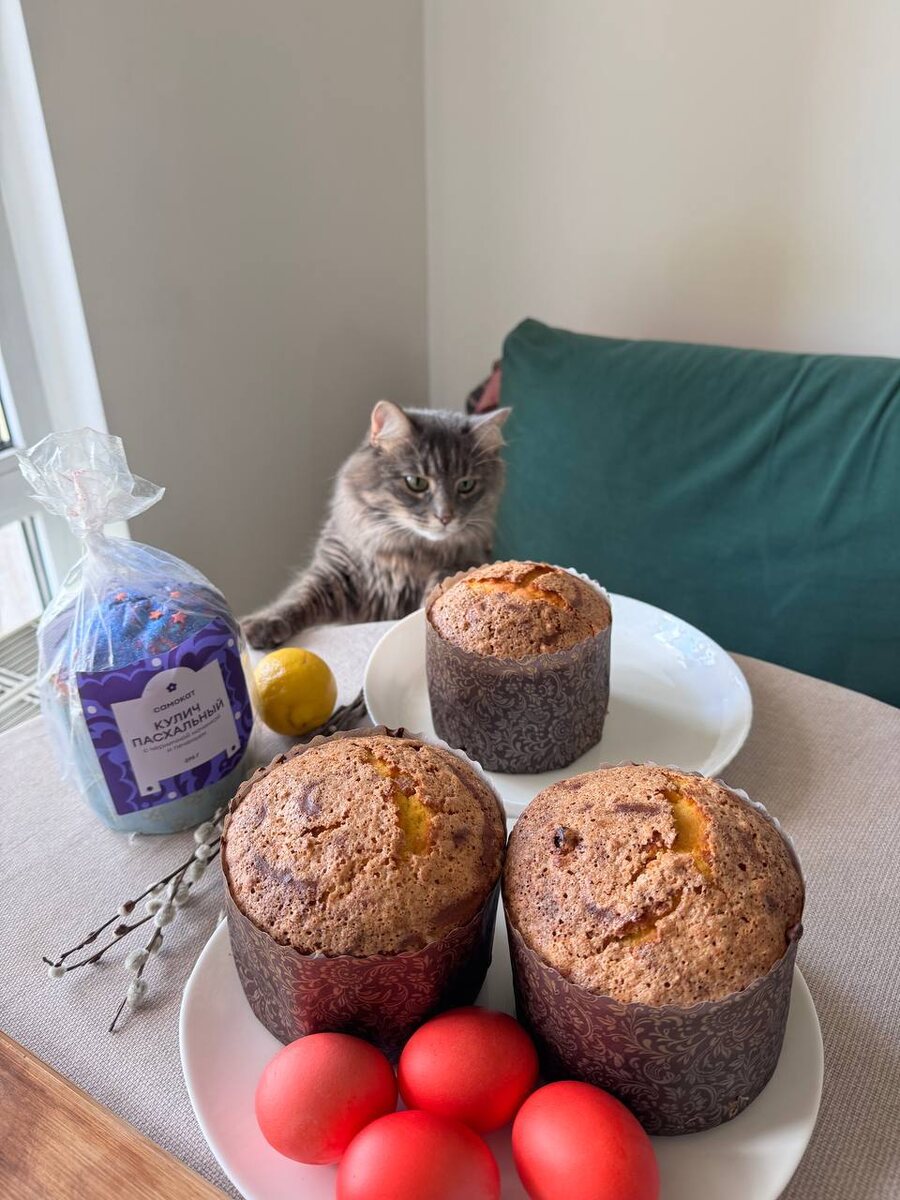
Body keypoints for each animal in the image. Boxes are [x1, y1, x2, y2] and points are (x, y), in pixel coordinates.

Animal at [241, 400, 510, 648]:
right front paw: (260, 624)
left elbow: (443, 579)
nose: (445, 517)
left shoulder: (467, 560)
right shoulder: (333, 571)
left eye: (466, 485)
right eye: (416, 482)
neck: (406, 552)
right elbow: (297, 597)